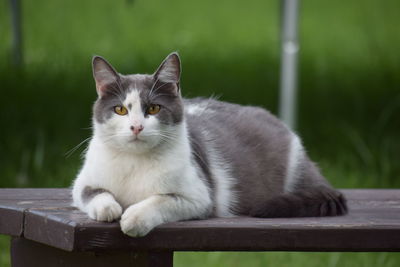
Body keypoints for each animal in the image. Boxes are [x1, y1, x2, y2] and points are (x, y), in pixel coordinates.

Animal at [72, 52, 346, 239]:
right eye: (120, 109)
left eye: (154, 108)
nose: (136, 127)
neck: (135, 163)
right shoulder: (81, 184)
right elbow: (95, 193)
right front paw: (109, 208)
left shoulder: (199, 197)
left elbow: (160, 200)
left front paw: (133, 219)